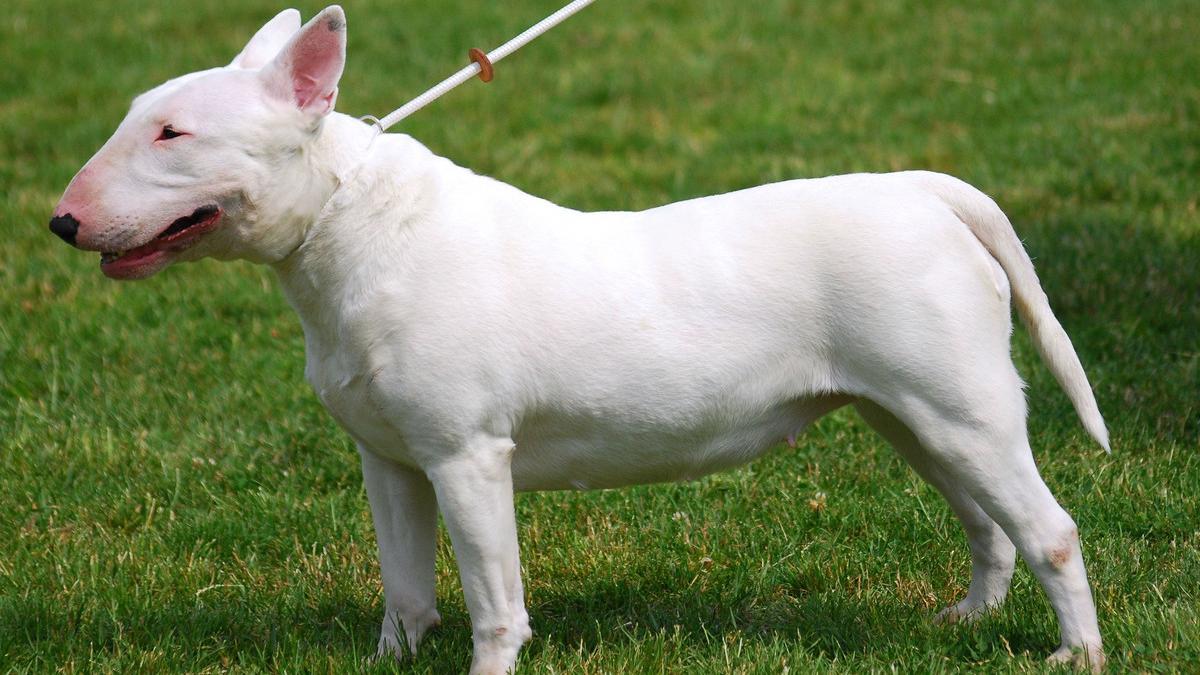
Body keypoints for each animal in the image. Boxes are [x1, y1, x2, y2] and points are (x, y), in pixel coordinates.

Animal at [51, 6, 1108, 672]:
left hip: (959, 406)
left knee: (1049, 530)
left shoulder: (468, 455)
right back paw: (965, 618)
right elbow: (405, 589)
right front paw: (391, 656)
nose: (61, 222)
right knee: (985, 522)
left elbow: (494, 602)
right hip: (911, 414)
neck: (351, 225)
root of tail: (927, 189)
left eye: (174, 133)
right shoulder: (388, 459)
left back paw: (1076, 652)